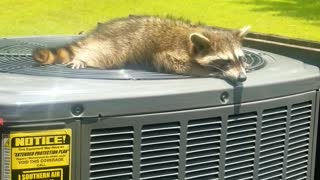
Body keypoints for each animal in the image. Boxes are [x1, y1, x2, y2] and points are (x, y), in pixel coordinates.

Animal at [33, 15, 252, 83]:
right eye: (225, 61)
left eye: (240, 58)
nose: (243, 78)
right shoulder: (169, 52)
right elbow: (169, 62)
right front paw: (207, 71)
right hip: (114, 46)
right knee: (103, 55)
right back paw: (83, 57)